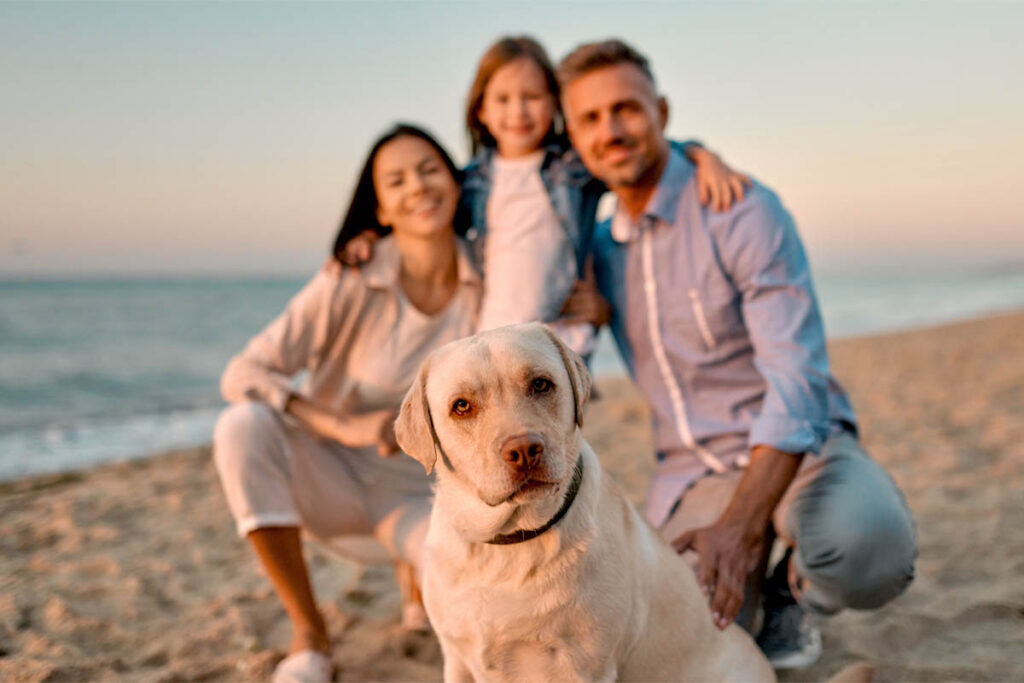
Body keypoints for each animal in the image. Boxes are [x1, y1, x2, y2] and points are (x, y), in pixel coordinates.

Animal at [397, 323, 774, 679]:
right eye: (461, 406)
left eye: (541, 384)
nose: (524, 450)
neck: (509, 541)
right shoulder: (456, 659)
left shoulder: (584, 666)